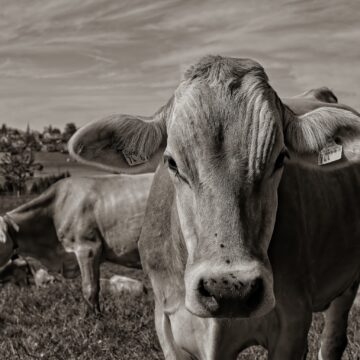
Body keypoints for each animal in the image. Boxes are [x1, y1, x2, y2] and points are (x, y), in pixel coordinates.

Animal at [68, 54, 360, 360]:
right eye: (171, 162)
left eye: (280, 158)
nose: (230, 289)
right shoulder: (167, 323)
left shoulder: (292, 323)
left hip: (348, 283)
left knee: (332, 340)